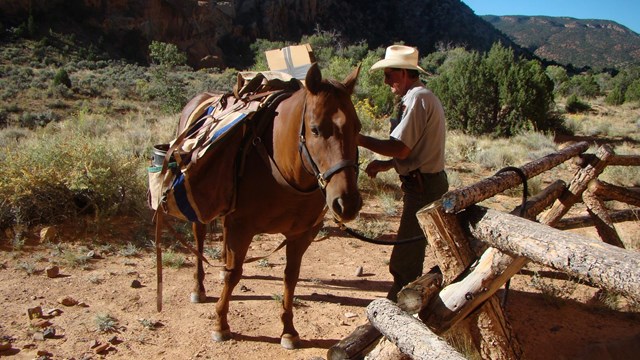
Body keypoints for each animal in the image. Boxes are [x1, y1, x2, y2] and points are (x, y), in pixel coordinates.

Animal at [181, 64, 360, 348]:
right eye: (315, 129)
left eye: (358, 128)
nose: (347, 203)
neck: (284, 167)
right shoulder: (241, 227)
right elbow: (234, 274)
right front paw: (221, 324)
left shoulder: (300, 235)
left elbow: (291, 276)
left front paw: (288, 330)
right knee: (199, 237)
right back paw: (198, 288)